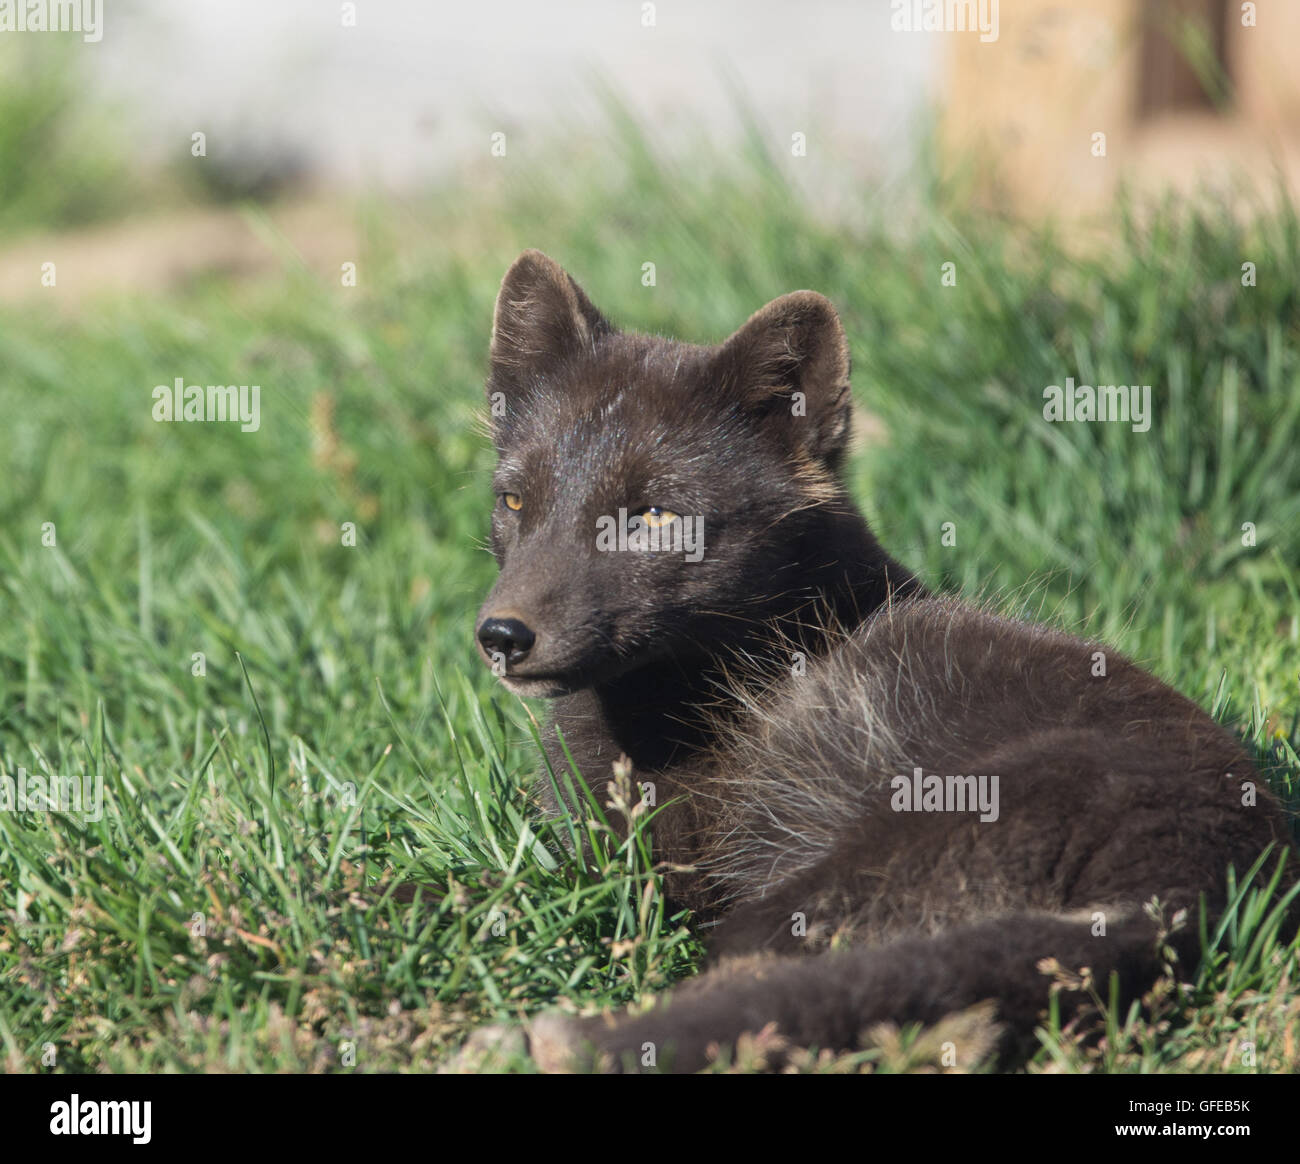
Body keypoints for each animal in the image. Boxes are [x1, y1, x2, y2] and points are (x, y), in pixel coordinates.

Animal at [470, 249, 1289, 1071]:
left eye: (652, 517)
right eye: (514, 502)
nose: (502, 636)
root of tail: (1200, 881)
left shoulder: (668, 881)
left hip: (810, 889)